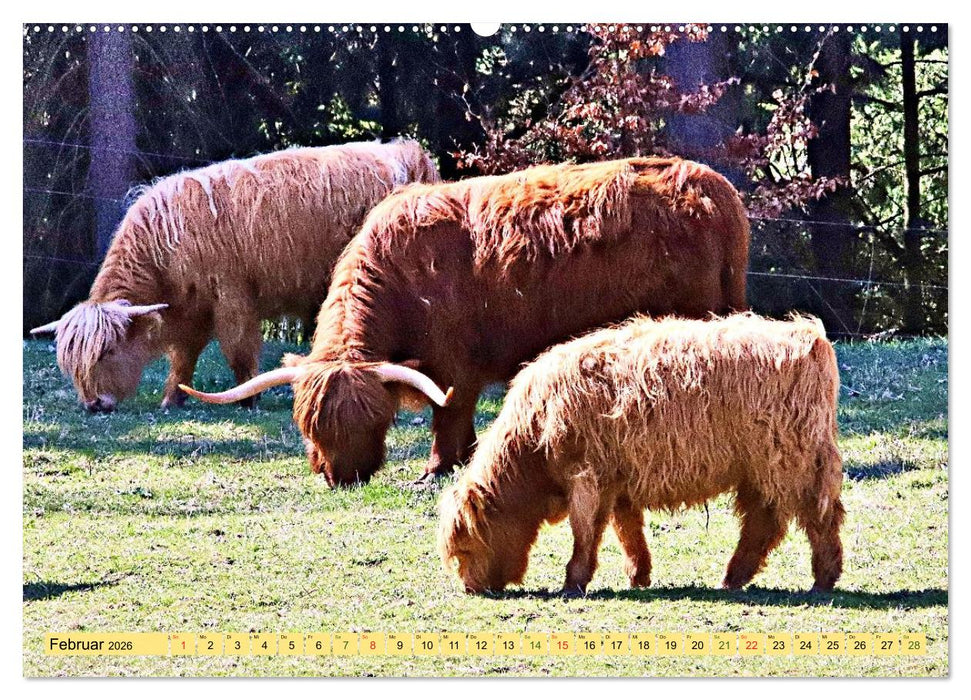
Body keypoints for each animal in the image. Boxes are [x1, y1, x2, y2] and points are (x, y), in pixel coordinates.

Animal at [30, 139, 439, 412]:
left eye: (108, 352)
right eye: (71, 366)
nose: (94, 404)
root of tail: (408, 153)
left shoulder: (231, 296)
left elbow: (239, 350)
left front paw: (249, 398)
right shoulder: (190, 310)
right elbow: (184, 357)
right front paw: (172, 398)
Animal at [180, 157, 750, 485]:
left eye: (372, 420)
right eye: (310, 424)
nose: (341, 476)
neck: (401, 281)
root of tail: (710, 184)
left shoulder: (454, 362)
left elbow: (447, 412)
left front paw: (435, 468)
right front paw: (463, 460)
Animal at [438, 314, 844, 595]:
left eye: (467, 547)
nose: (471, 588)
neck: (534, 437)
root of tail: (809, 337)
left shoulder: (587, 476)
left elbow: (585, 530)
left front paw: (573, 582)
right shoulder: (617, 481)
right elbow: (627, 531)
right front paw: (639, 576)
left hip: (793, 461)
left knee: (819, 514)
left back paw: (822, 580)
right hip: (758, 469)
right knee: (765, 521)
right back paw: (733, 578)